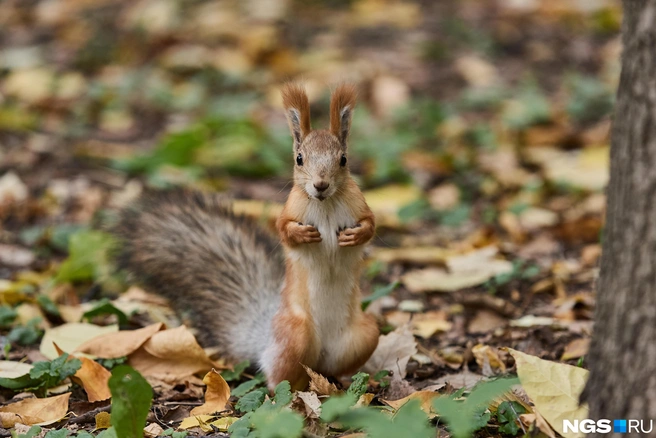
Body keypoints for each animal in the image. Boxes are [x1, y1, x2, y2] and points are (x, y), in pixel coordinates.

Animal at [114, 83, 379, 391]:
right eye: (299, 159)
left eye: (343, 160)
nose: (320, 185)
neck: (326, 204)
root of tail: (266, 344)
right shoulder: (290, 209)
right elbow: (283, 229)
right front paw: (303, 233)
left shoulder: (359, 205)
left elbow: (371, 224)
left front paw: (354, 236)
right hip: (296, 336)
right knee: (281, 379)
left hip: (365, 335)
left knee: (331, 367)